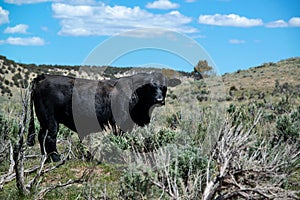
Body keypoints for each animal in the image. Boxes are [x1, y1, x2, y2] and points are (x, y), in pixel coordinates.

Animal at [27, 72, 180, 162]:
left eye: (165, 86)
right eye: (151, 86)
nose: (160, 99)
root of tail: (44, 77)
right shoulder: (119, 123)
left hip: (43, 120)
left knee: (41, 136)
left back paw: (45, 158)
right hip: (50, 120)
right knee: (50, 137)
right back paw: (56, 158)